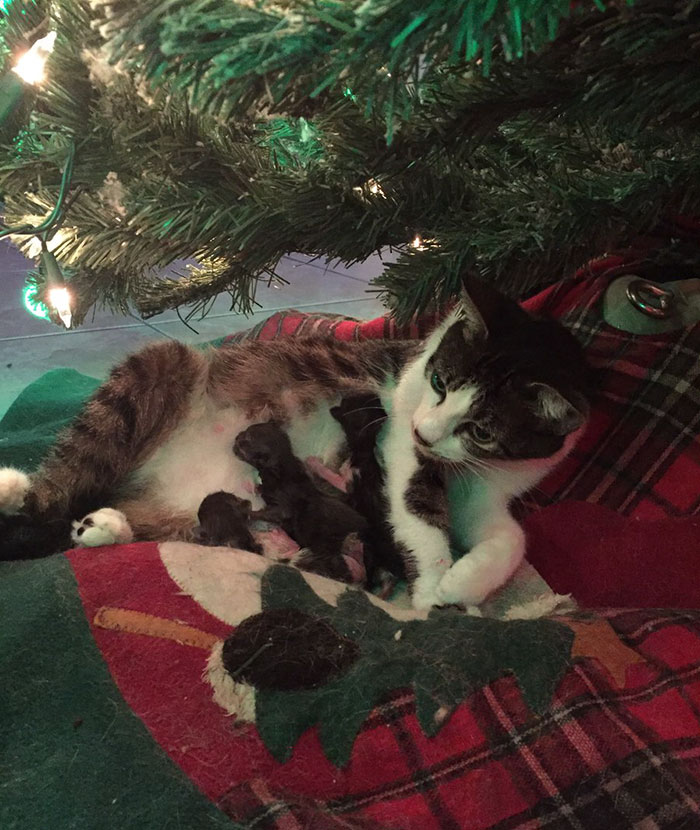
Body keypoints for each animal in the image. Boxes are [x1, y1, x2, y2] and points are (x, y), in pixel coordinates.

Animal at [232, 422, 370, 584]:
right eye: (247, 430)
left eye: (246, 441)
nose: (236, 438)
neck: (283, 462)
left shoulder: (283, 505)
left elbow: (267, 511)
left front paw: (247, 510)